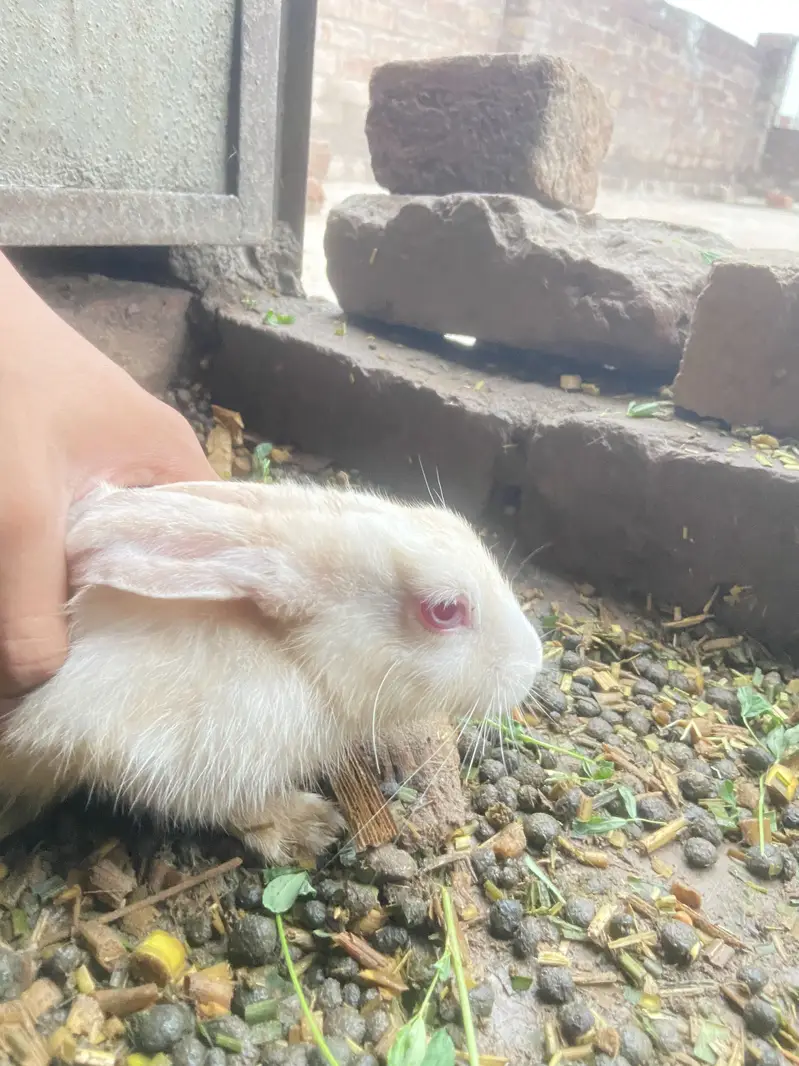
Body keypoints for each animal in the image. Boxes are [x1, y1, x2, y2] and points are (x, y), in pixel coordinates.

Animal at [0, 478, 543, 862]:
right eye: (444, 610)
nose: (534, 660)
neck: (295, 658)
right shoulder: (175, 758)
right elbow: (234, 808)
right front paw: (310, 828)